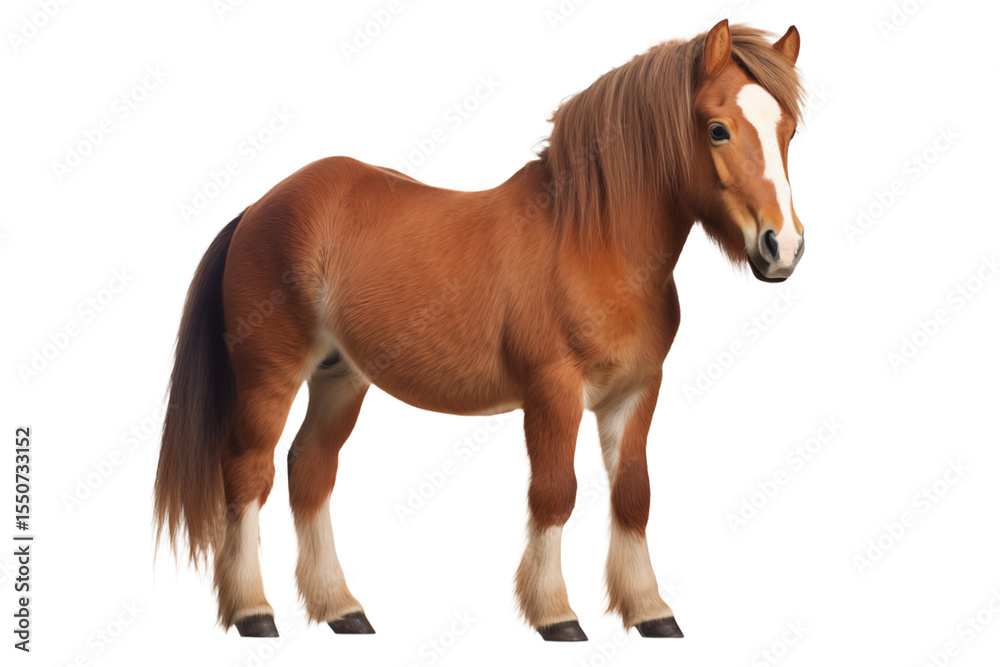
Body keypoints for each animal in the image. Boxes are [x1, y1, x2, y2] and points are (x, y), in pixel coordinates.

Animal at [154, 19, 806, 641]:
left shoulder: (636, 391)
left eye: (789, 131)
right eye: (718, 129)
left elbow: (633, 496)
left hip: (341, 378)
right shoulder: (553, 392)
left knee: (310, 470)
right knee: (248, 472)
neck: (591, 239)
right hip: (270, 374)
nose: (783, 248)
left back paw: (342, 609)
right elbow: (555, 493)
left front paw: (651, 613)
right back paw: (253, 612)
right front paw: (556, 616)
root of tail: (259, 206)